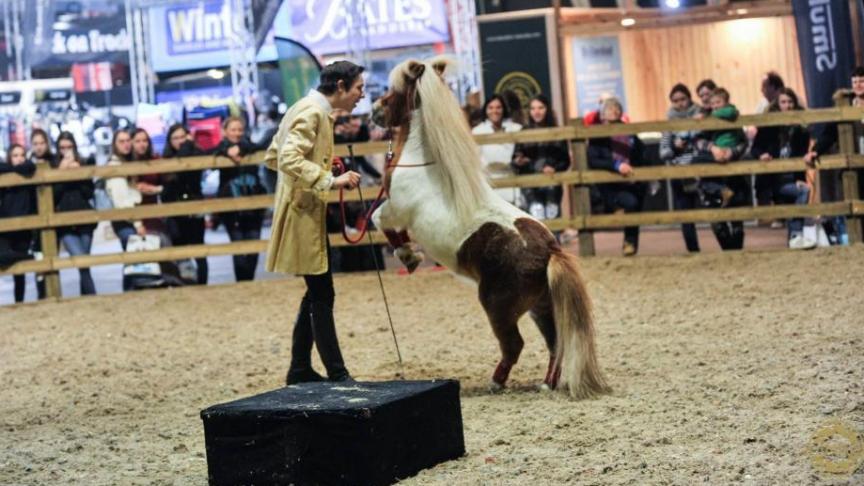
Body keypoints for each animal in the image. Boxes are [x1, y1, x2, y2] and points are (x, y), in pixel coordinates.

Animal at [369, 57, 610, 399]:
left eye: (394, 91)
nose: (374, 110)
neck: (422, 163)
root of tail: (550, 250)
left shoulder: (395, 210)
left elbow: (378, 219)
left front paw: (408, 255)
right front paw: (409, 255)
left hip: (497, 306)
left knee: (514, 345)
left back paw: (496, 382)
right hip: (541, 306)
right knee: (555, 343)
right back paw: (546, 383)